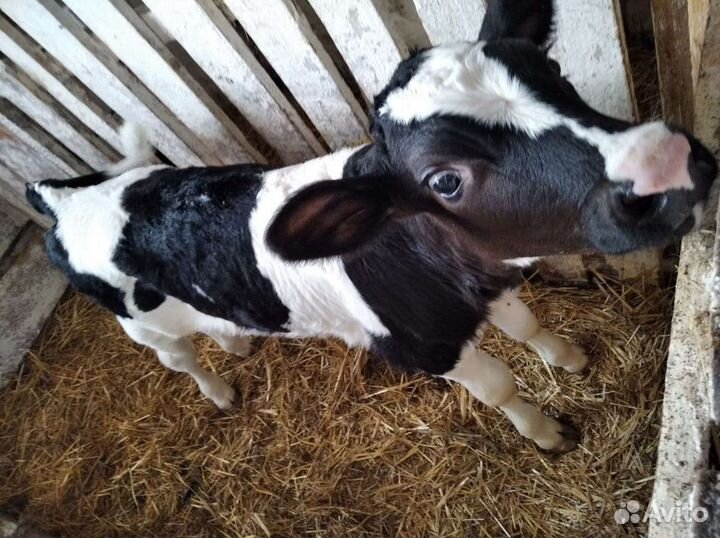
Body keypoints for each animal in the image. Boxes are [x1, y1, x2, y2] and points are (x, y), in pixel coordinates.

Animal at [25, 0, 717, 453]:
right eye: (444, 181)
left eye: (556, 76)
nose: (666, 161)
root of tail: (66, 196)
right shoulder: (429, 348)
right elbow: (500, 389)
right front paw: (548, 433)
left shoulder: (489, 289)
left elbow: (529, 326)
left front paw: (569, 359)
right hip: (142, 330)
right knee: (180, 360)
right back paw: (219, 390)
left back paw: (237, 342)